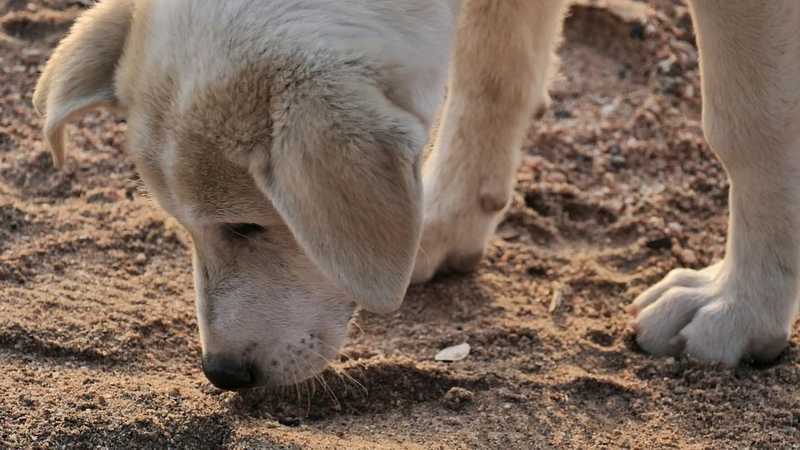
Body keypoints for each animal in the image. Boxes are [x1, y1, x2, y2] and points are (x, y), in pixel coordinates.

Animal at [32, 0, 800, 390]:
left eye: (247, 227)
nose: (220, 375)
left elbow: (751, 124)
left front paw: (740, 305)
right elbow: (491, 68)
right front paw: (442, 221)